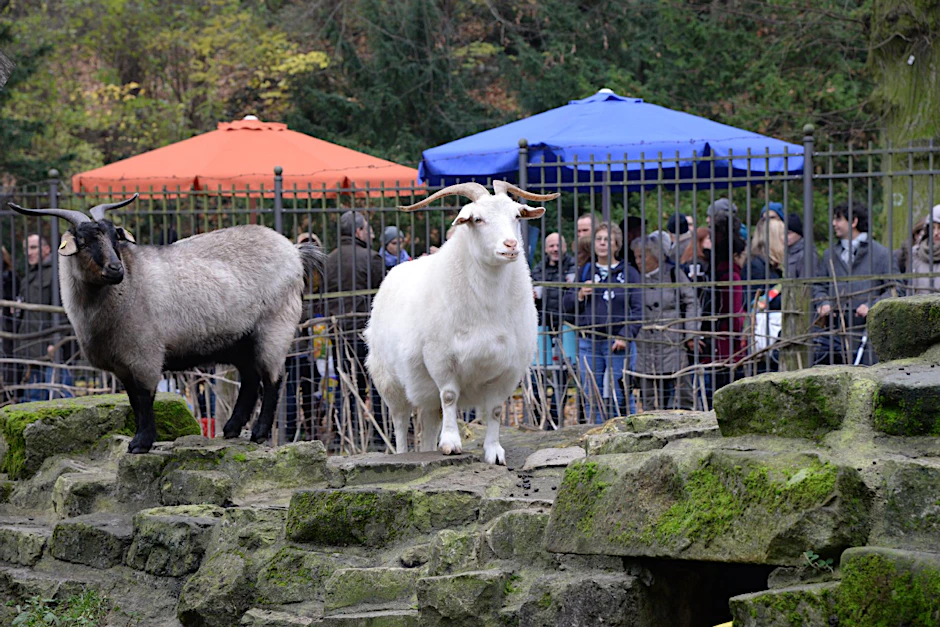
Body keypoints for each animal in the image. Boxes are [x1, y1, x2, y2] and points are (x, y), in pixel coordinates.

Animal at [8, 195, 321, 453]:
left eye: (114, 239)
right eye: (83, 242)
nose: (115, 269)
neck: (128, 286)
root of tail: (294, 251)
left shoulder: (144, 355)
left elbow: (145, 399)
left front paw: (141, 444)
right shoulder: (123, 365)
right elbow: (133, 400)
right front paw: (139, 440)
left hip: (275, 326)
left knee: (273, 378)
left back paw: (258, 433)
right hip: (241, 339)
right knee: (251, 378)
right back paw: (232, 429)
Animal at [364, 181, 558, 464]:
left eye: (516, 216)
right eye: (478, 219)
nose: (511, 245)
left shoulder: (508, 369)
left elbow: (495, 410)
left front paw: (494, 452)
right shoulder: (440, 358)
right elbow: (449, 396)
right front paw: (451, 444)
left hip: (424, 392)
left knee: (429, 420)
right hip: (388, 381)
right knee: (400, 420)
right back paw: (403, 452)